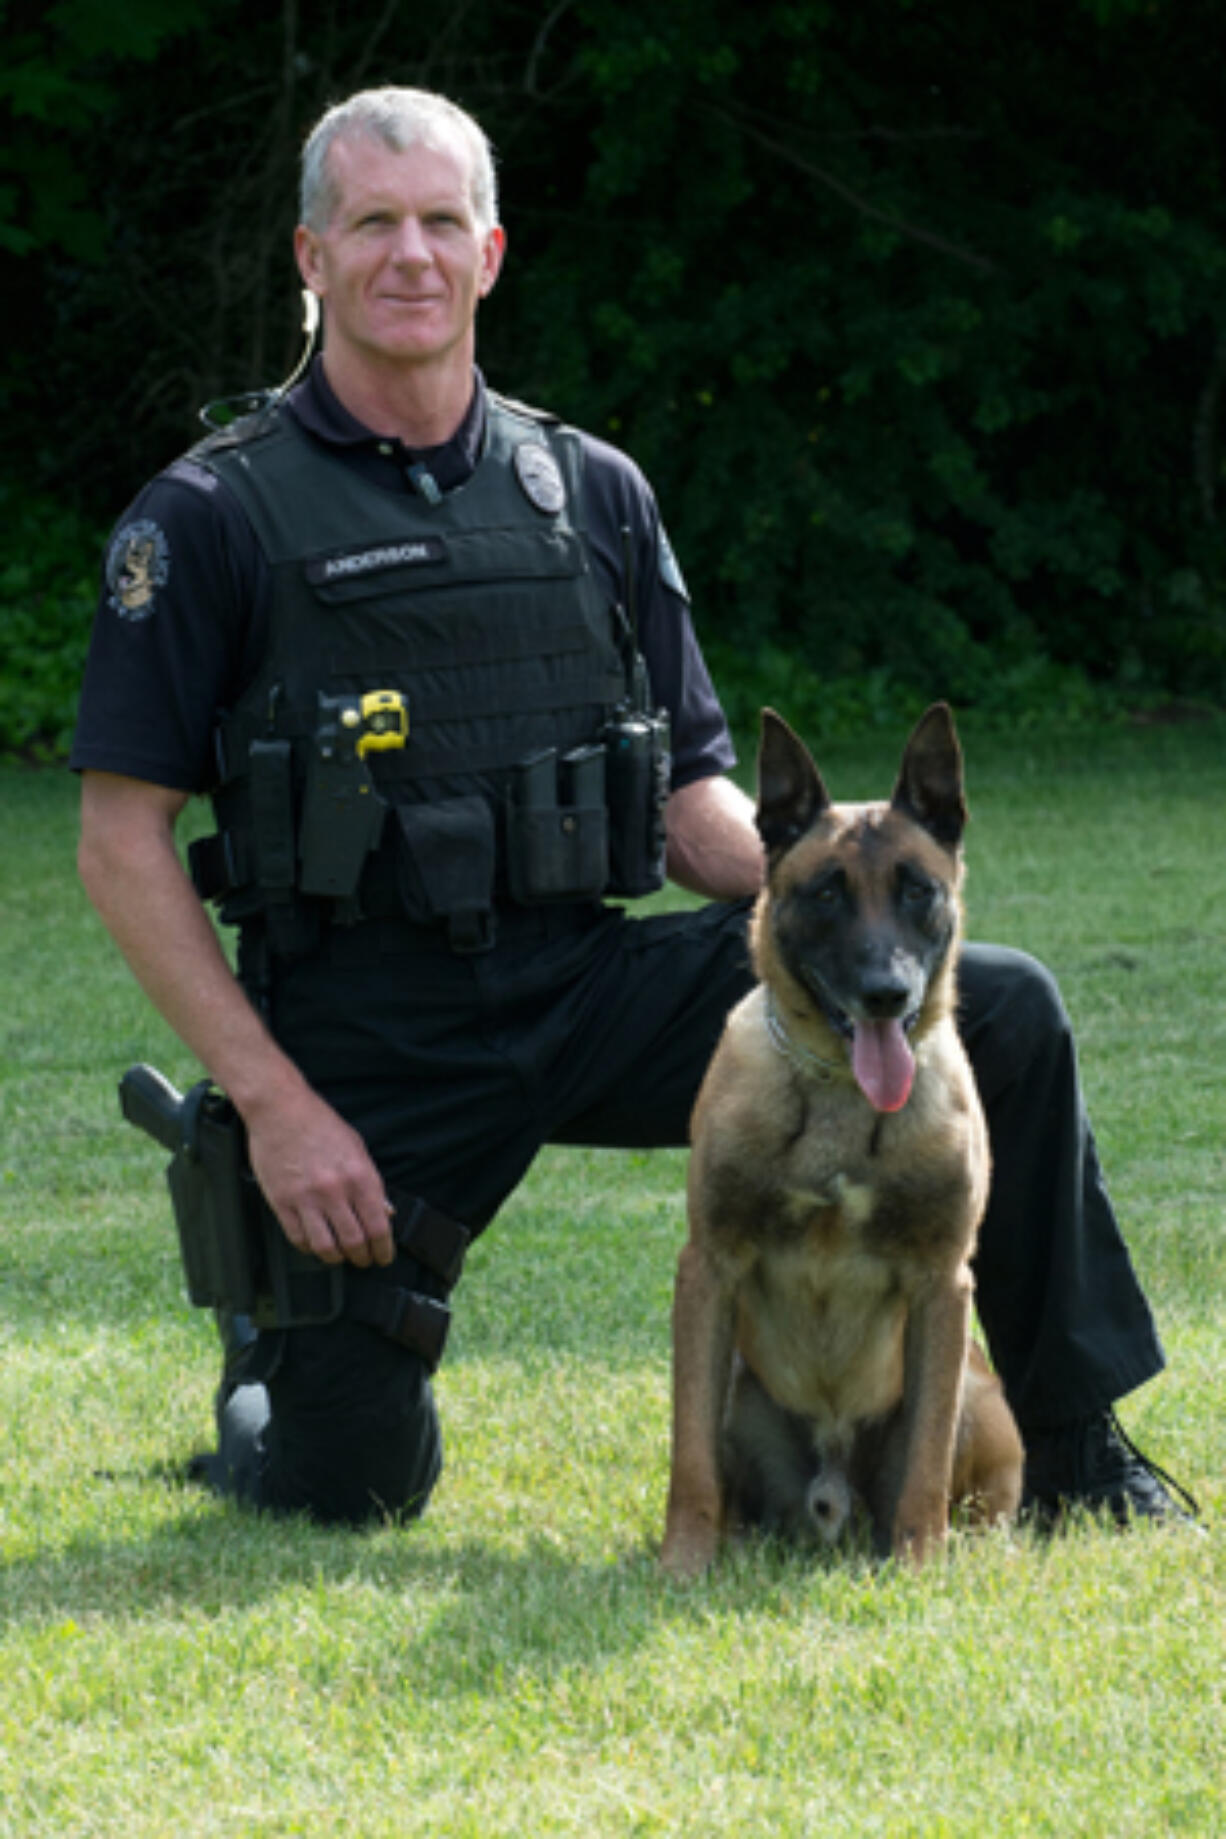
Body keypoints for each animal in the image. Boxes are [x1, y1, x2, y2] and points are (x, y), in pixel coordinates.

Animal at [661, 702, 1029, 1581]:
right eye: (826, 892)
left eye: (917, 889)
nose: (884, 993)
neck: (837, 1097)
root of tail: (831, 1502)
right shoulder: (708, 1269)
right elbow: (689, 1458)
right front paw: (680, 1566)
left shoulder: (942, 1283)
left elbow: (925, 1462)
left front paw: (921, 1567)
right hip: (738, 1374)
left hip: (980, 1393)